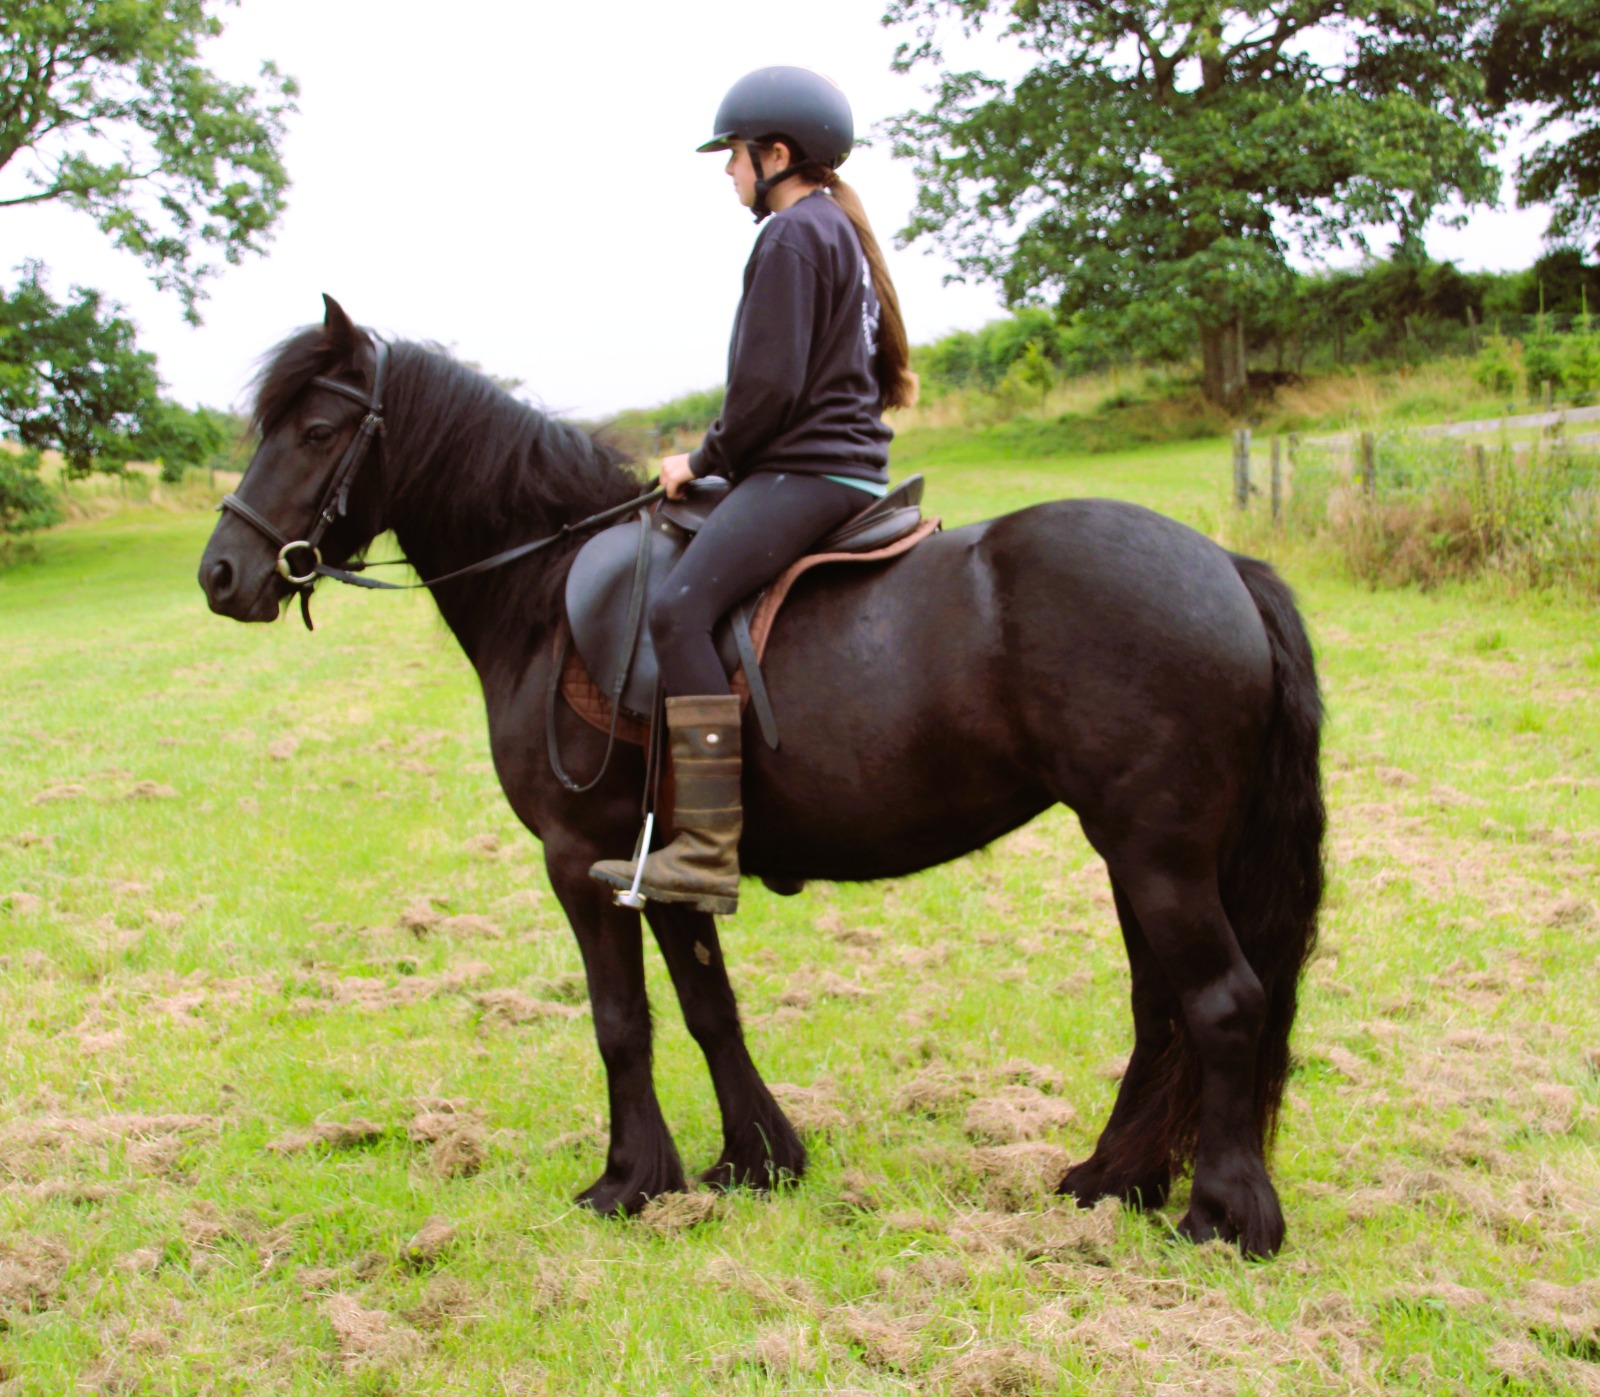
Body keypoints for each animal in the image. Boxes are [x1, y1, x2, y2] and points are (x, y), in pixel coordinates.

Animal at [199, 298, 1325, 1258]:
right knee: (1161, 1007)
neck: (542, 590)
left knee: (1221, 1001)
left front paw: (627, 1179)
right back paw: (1111, 1180)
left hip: (1156, 853)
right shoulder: (655, 866)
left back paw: (1223, 1214)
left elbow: (621, 1021)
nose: (220, 573)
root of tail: (1225, 566)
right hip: (1144, 856)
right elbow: (708, 1007)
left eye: (313, 430)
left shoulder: (577, 860)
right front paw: (756, 1158)